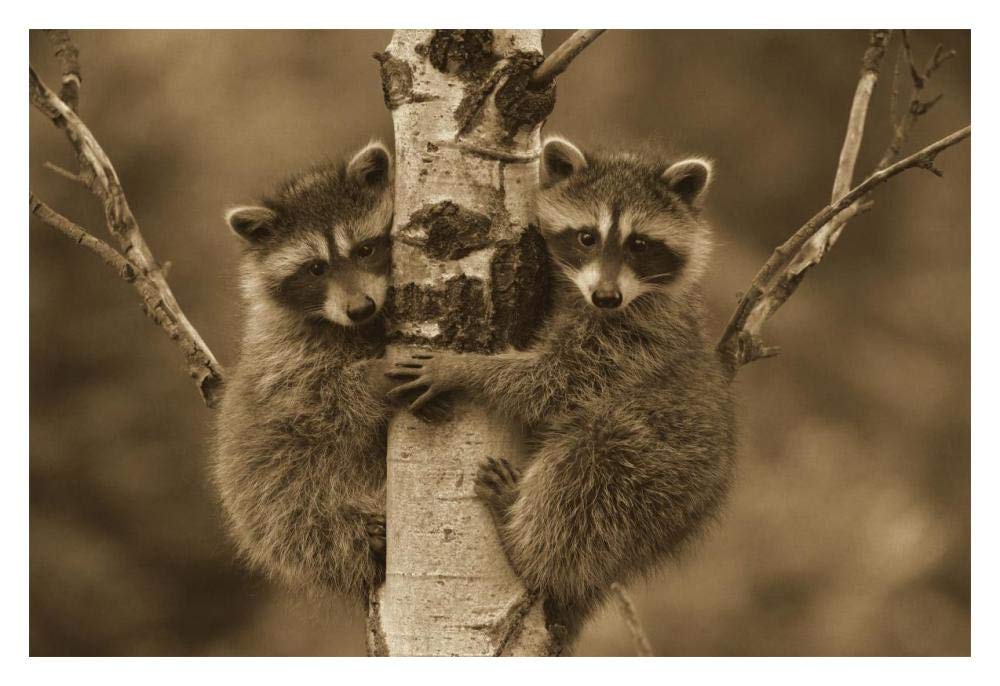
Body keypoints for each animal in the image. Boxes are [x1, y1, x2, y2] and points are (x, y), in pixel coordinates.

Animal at [213, 142, 397, 605]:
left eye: (364, 250)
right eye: (316, 268)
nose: (360, 308)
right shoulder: (285, 358)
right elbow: (319, 404)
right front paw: (372, 378)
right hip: (276, 502)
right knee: (305, 517)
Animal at [387, 137, 737, 646]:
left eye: (640, 244)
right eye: (587, 237)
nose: (607, 296)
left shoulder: (630, 343)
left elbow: (553, 382)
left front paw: (465, 368)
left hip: (658, 471)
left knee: (588, 466)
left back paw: (523, 544)